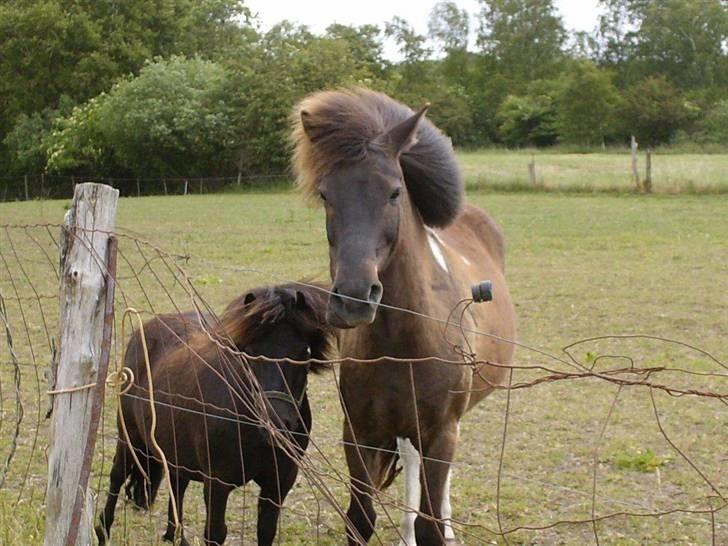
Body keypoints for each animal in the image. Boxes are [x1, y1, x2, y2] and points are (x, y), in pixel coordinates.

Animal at [96, 284, 332, 544]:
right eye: (248, 352)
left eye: (305, 352)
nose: (276, 423)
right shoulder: (217, 484)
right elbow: (216, 533)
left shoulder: (278, 484)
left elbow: (266, 532)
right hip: (129, 436)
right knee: (117, 474)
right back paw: (103, 529)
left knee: (177, 486)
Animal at [292, 87, 516, 540]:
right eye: (326, 195)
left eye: (395, 192)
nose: (355, 298)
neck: (403, 343)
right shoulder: (358, 434)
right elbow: (360, 519)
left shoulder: (440, 433)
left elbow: (432, 520)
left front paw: (436, 528)